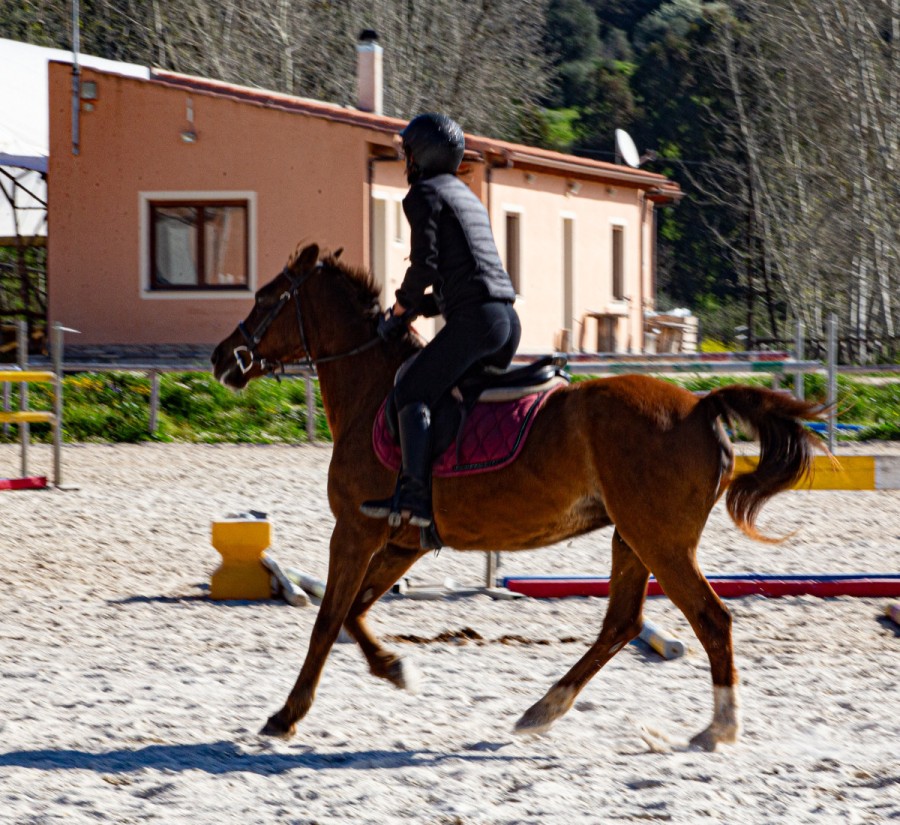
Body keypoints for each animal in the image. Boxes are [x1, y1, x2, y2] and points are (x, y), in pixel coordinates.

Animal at [209, 241, 824, 748]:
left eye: (266, 299)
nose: (221, 358)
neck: (372, 392)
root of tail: (699, 406)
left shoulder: (355, 531)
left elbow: (328, 619)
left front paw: (286, 716)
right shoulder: (401, 541)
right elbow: (354, 613)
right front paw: (394, 667)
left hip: (660, 541)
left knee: (709, 619)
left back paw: (717, 728)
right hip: (633, 537)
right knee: (621, 624)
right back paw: (545, 708)